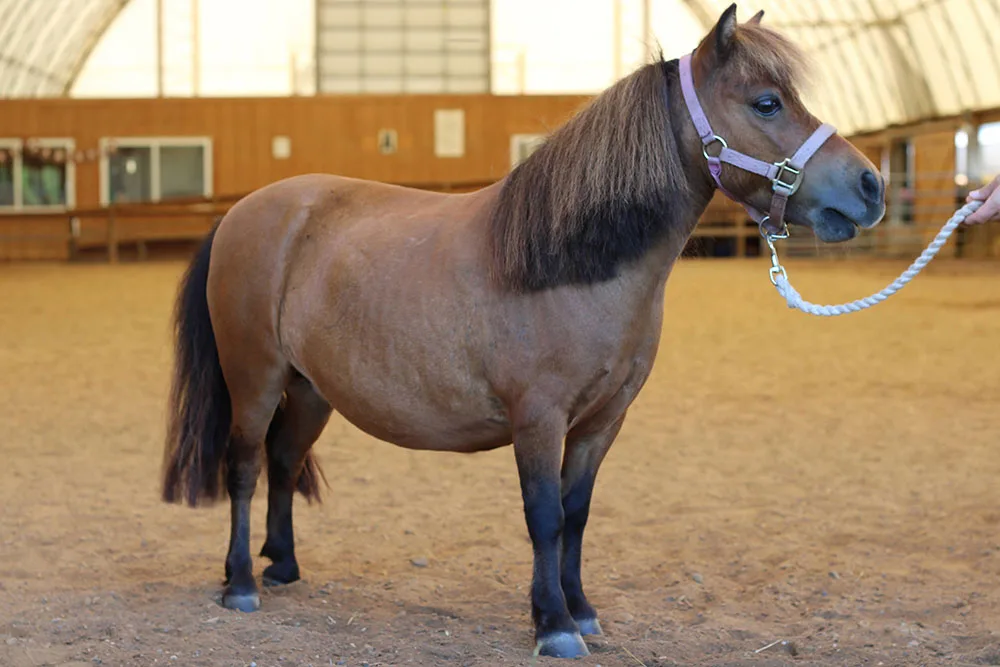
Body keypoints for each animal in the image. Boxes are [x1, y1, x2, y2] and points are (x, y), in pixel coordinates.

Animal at [162, 5, 884, 660]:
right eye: (766, 102)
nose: (870, 185)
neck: (567, 264)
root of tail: (244, 212)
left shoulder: (602, 420)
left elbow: (576, 512)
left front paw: (581, 608)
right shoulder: (539, 419)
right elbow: (544, 516)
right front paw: (554, 625)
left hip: (312, 389)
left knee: (283, 459)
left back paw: (282, 565)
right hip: (255, 379)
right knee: (245, 466)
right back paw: (241, 583)